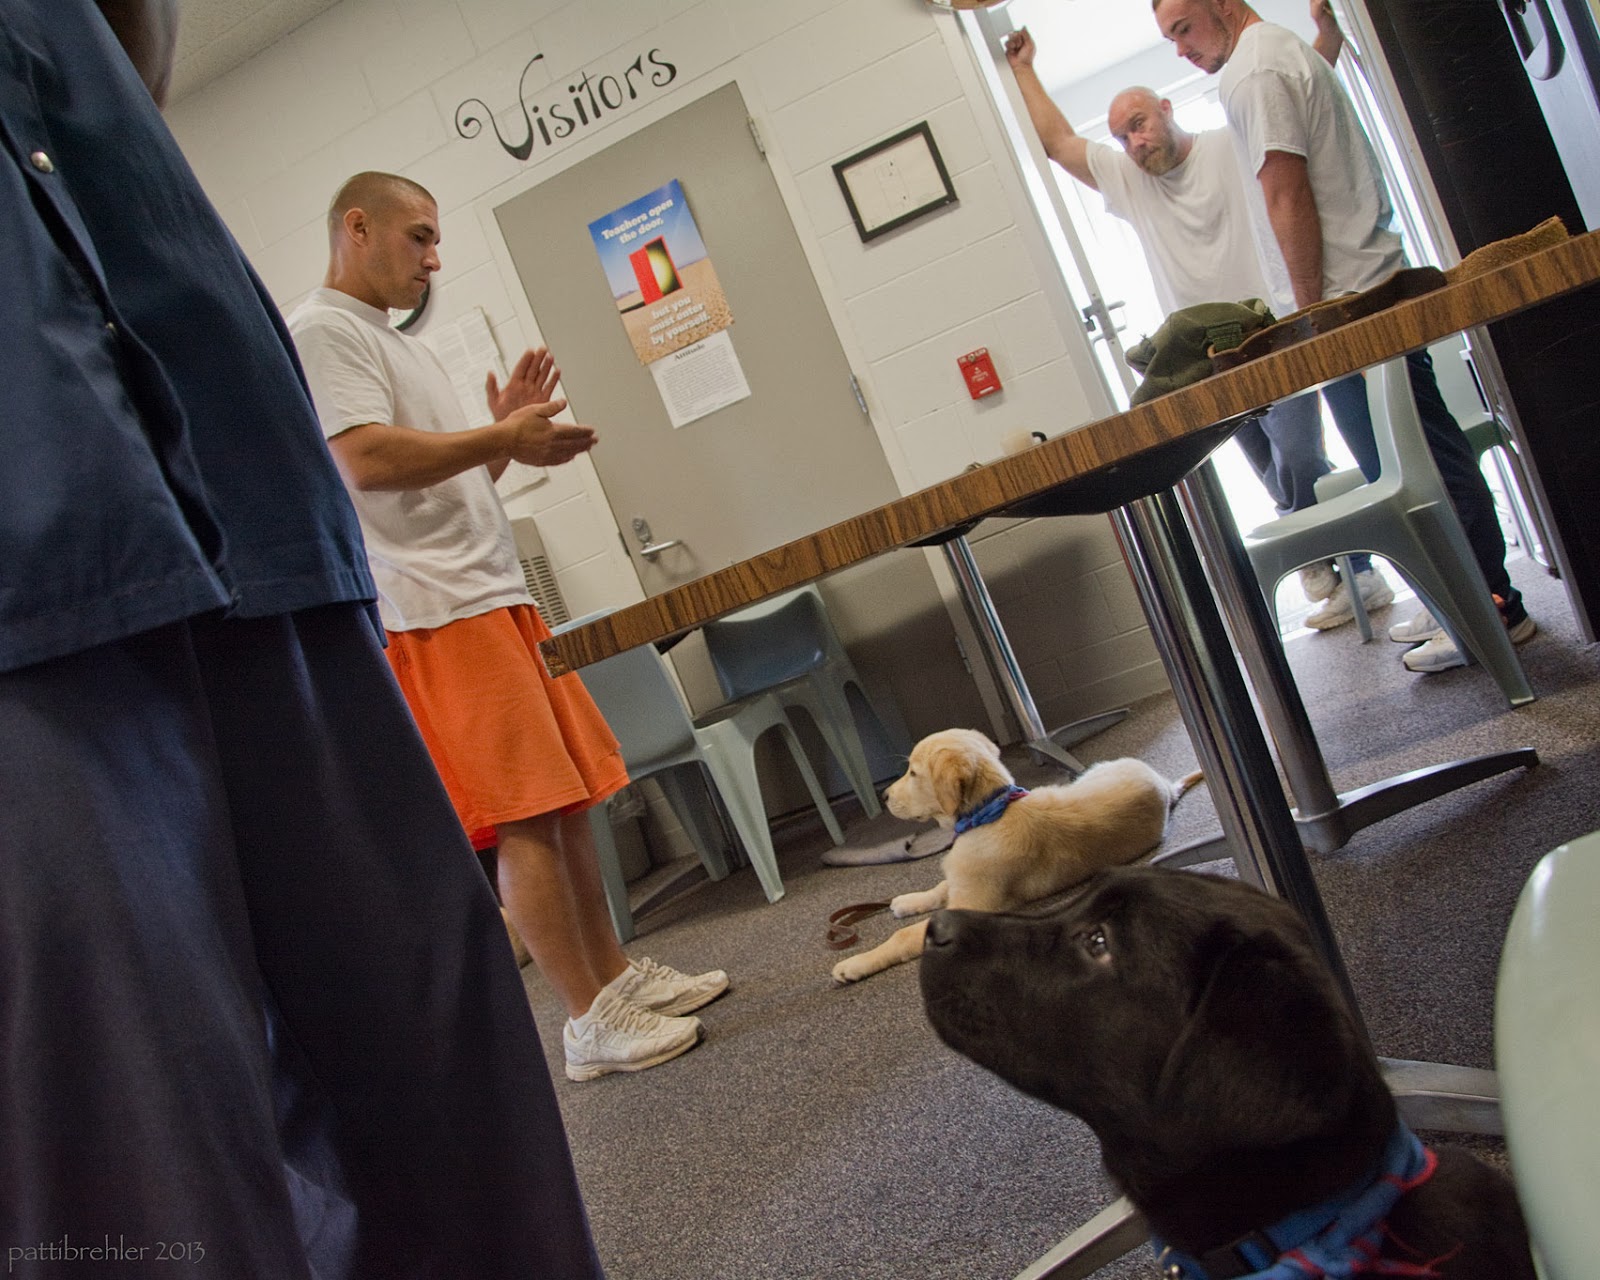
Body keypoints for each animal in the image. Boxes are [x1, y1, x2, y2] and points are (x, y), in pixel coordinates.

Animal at [829, 728, 1201, 985]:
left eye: (914, 773)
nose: (884, 795)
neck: (988, 815)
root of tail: (1166, 787)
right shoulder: (963, 881)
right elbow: (940, 887)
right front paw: (909, 900)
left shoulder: (970, 905)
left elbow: (904, 936)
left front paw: (855, 964)